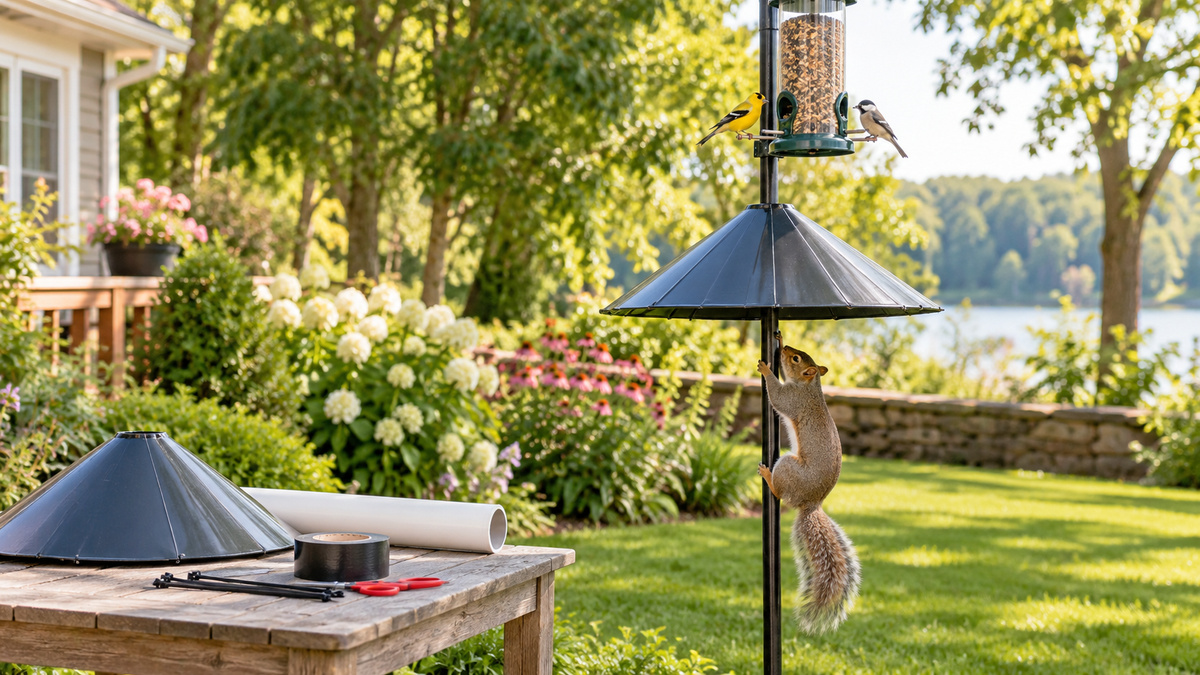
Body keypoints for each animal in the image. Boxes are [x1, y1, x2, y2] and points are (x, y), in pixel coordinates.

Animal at [756, 339, 860, 634]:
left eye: (795, 359)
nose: (785, 349)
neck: (810, 386)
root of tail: (811, 503)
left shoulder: (793, 399)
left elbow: (777, 396)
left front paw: (767, 369)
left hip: (787, 466)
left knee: (779, 491)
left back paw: (768, 476)